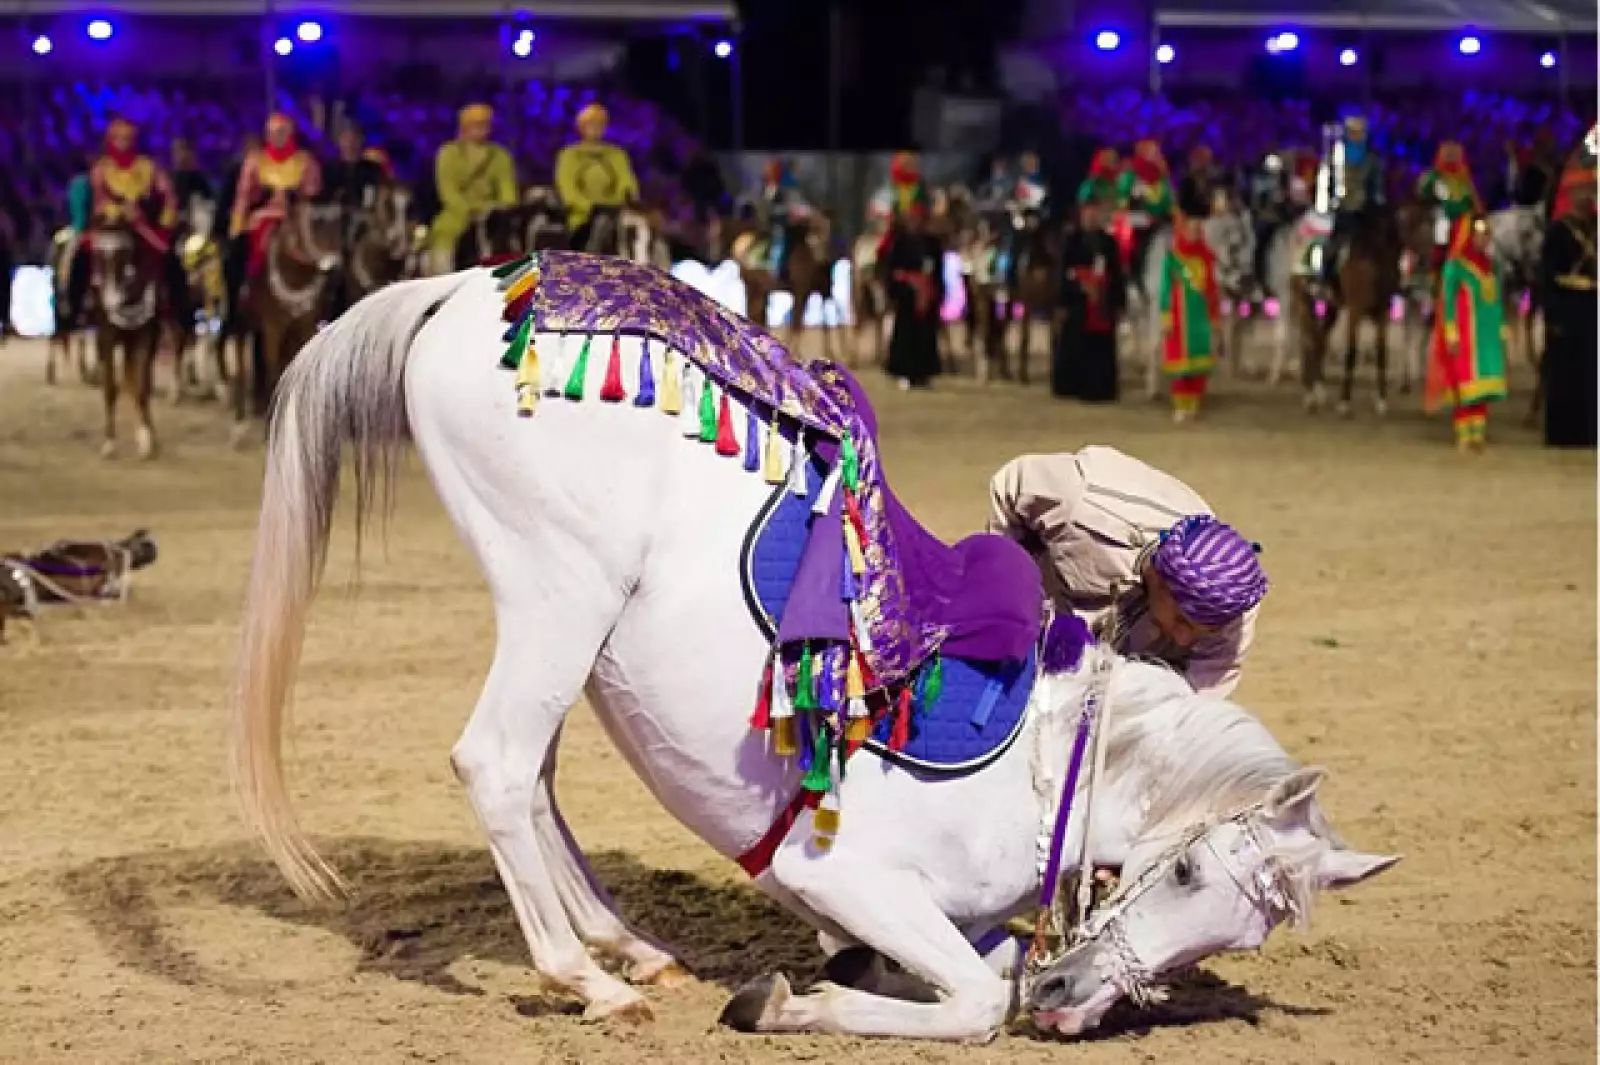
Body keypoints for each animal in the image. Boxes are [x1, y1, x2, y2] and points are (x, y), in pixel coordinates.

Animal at [85, 222, 166, 458]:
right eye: (97, 254)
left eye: (124, 254)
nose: (110, 301)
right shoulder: (106, 338)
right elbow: (111, 388)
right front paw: (109, 442)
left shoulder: (145, 337)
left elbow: (142, 388)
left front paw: (146, 440)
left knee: (135, 381)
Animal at [229, 260, 1397, 1040]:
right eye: (1188, 865)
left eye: (1240, 934)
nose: (1072, 1002)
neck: (1043, 769)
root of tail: (472, 286)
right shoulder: (843, 875)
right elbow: (976, 998)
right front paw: (794, 999)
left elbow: (983, 967)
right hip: (562, 593)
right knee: (498, 765)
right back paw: (586, 977)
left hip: (557, 625)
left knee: (538, 780)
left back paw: (630, 950)